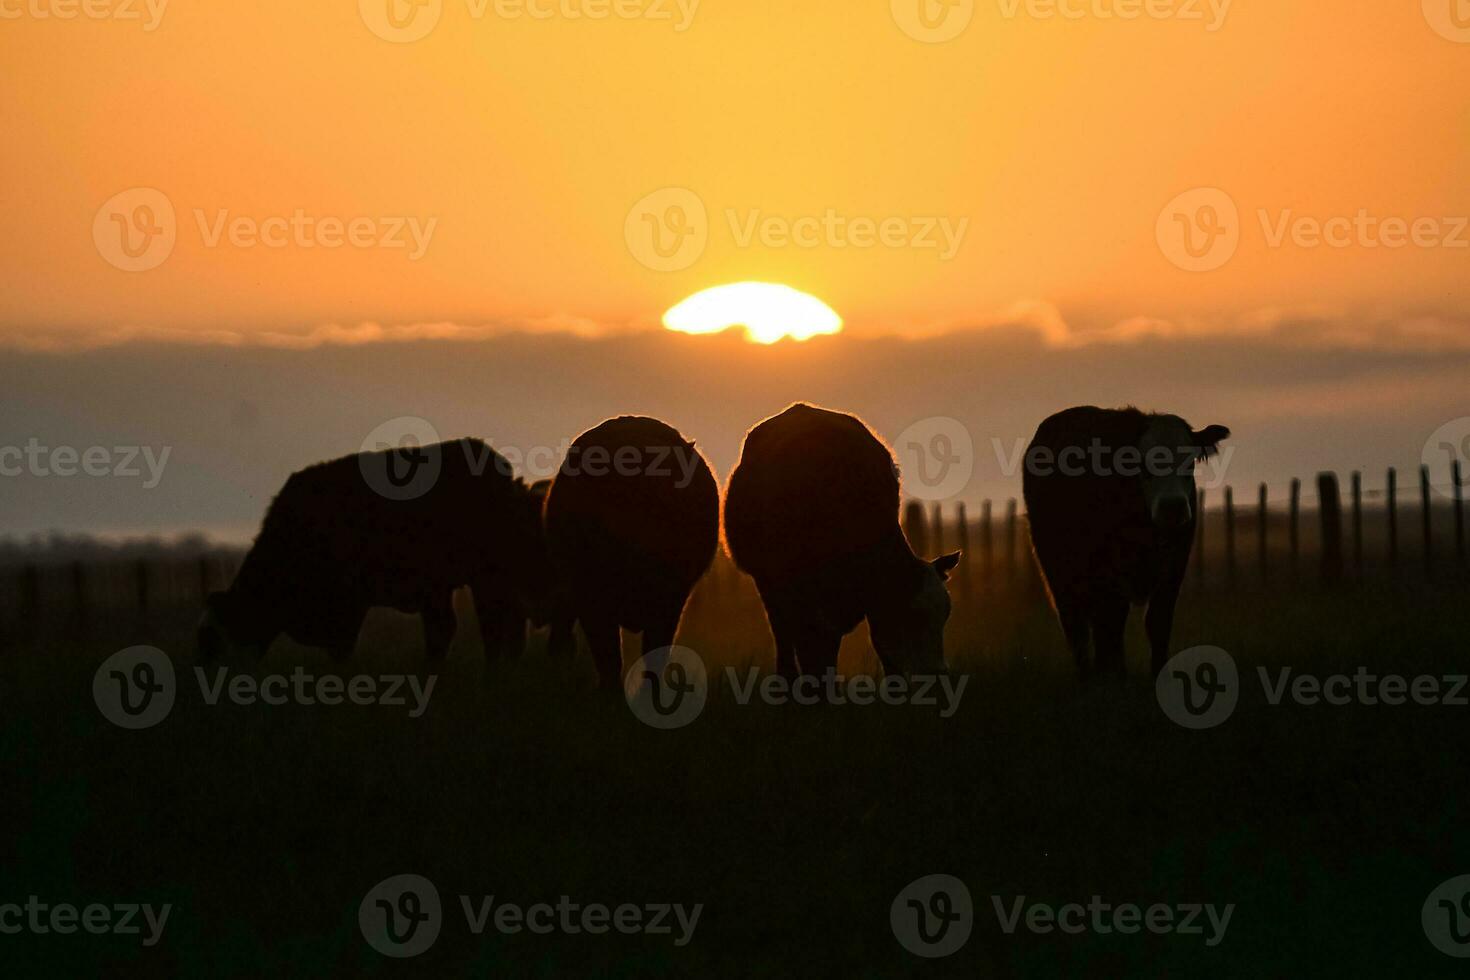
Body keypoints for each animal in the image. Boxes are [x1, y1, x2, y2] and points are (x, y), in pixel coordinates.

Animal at [1023, 405, 1240, 675]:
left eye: (1189, 463)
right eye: (1141, 465)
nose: (1172, 507)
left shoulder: (1174, 567)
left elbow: (1158, 622)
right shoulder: (1109, 573)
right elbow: (1110, 628)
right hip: (1059, 572)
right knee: (1078, 626)